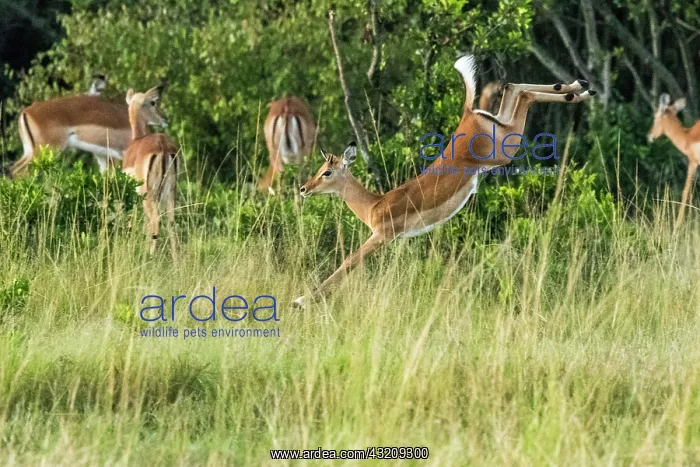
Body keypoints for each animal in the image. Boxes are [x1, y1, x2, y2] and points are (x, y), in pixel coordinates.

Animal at [122, 86, 179, 255]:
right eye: (153, 102)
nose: (164, 118)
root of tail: (163, 146)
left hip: (148, 194)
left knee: (155, 221)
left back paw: (150, 256)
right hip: (170, 193)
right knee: (171, 222)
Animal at [293, 55, 595, 307]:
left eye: (327, 171)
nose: (304, 189)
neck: (374, 205)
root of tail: (468, 114)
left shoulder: (381, 236)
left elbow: (347, 263)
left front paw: (301, 301)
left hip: (506, 148)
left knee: (523, 93)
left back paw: (577, 90)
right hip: (504, 130)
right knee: (513, 88)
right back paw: (579, 87)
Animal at [647, 93, 700, 227]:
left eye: (656, 116)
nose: (649, 136)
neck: (688, 137)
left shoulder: (693, 163)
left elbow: (685, 192)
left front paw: (676, 226)